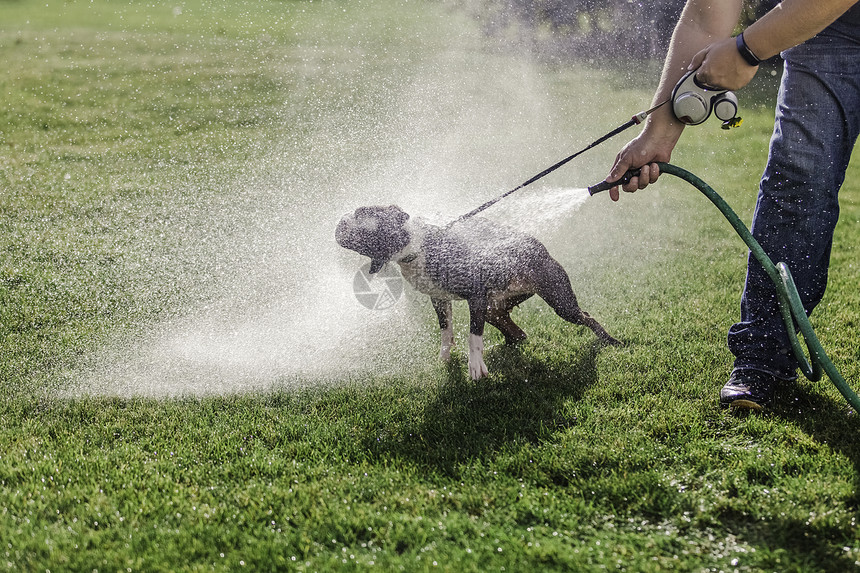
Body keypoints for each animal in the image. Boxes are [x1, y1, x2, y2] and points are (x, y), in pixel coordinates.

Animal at [336, 206, 620, 380]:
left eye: (362, 214)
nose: (339, 220)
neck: (418, 246)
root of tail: (540, 247)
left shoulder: (476, 296)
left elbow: (473, 336)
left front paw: (475, 366)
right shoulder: (440, 299)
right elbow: (445, 329)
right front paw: (446, 356)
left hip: (560, 301)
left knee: (586, 316)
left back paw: (611, 341)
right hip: (495, 309)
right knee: (517, 334)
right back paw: (500, 348)